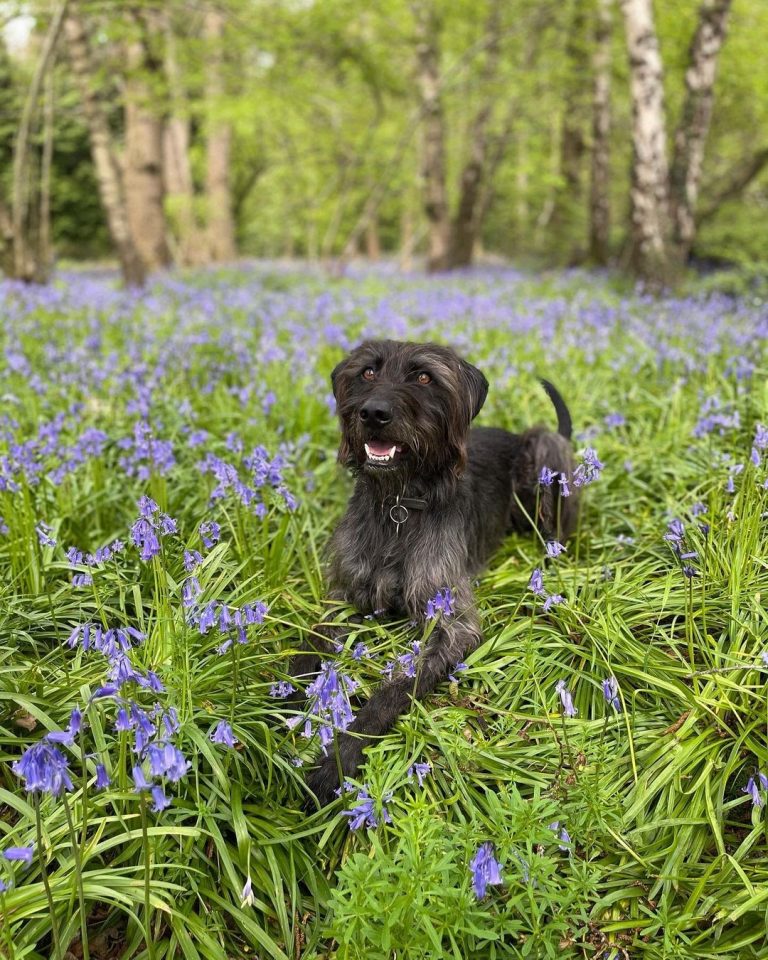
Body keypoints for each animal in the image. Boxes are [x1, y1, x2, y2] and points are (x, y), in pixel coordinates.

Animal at [292, 342, 576, 808]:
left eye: (424, 377)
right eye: (367, 372)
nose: (373, 413)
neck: (399, 505)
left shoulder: (451, 622)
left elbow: (396, 687)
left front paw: (340, 757)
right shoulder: (344, 596)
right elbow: (308, 644)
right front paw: (280, 700)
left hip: (544, 451)